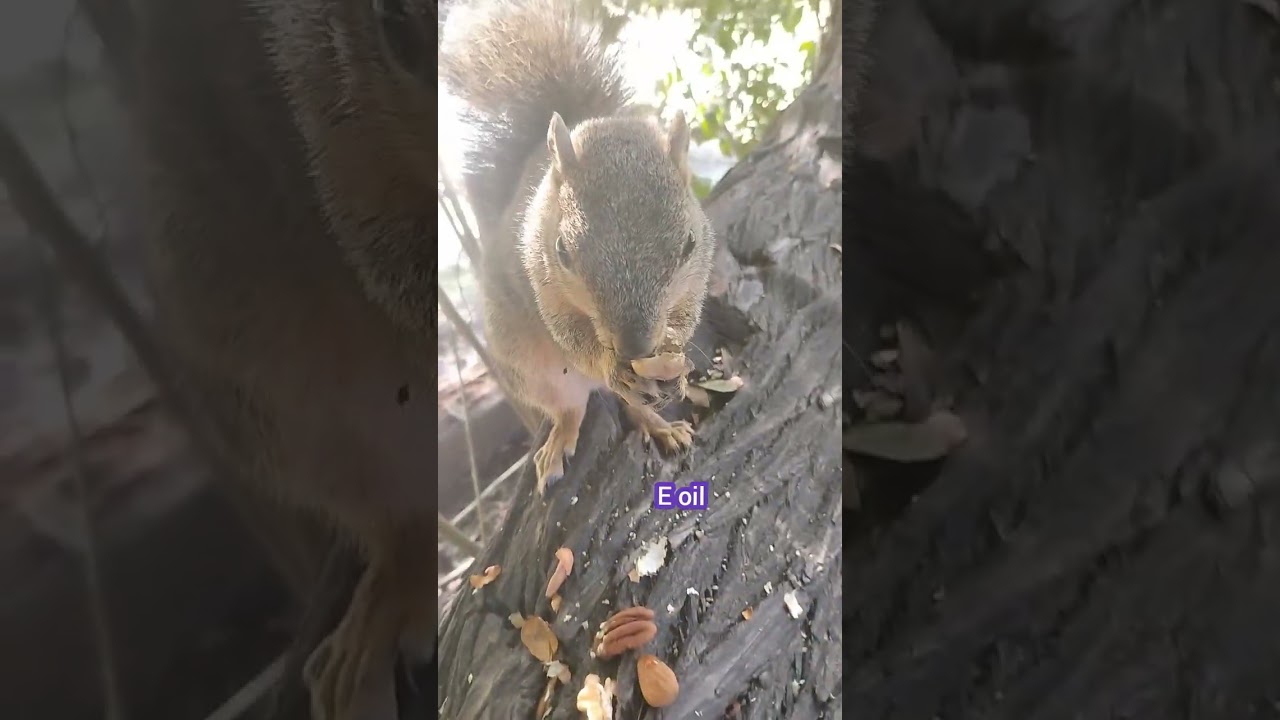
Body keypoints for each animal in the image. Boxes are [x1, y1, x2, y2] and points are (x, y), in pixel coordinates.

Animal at [440, 0, 717, 494]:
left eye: (689, 244)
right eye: (562, 250)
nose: (635, 348)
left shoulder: (697, 275)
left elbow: (686, 315)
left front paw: (674, 351)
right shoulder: (542, 286)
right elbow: (570, 335)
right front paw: (610, 364)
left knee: (631, 407)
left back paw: (659, 425)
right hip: (532, 372)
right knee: (570, 408)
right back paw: (561, 441)